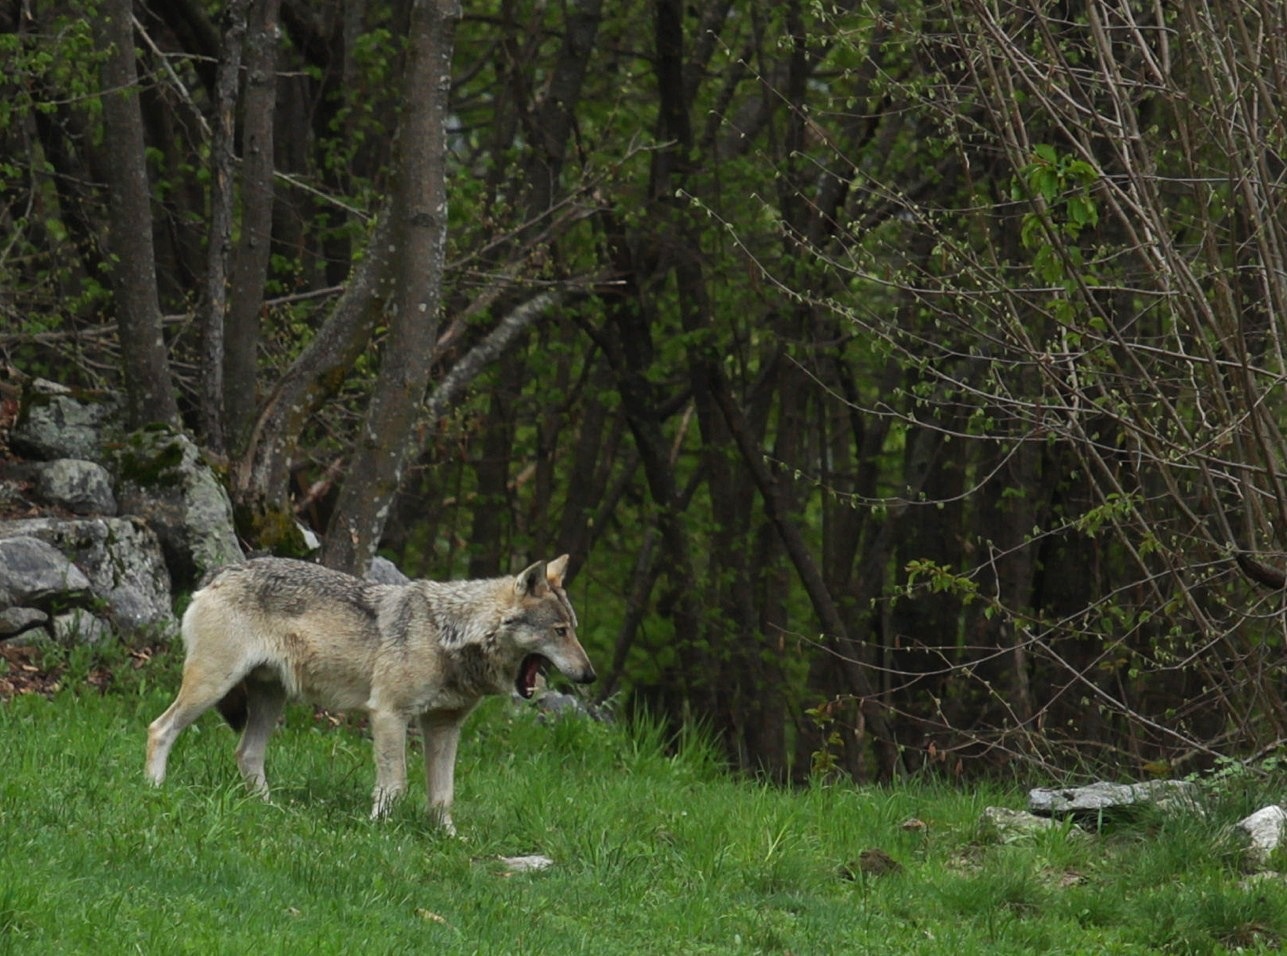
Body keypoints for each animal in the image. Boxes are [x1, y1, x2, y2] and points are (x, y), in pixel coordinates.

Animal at [145, 555, 595, 833]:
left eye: (573, 629)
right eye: (559, 631)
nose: (589, 675)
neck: (449, 634)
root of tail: (221, 572)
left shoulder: (444, 726)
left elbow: (443, 795)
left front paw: (448, 839)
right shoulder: (389, 714)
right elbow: (395, 784)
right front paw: (380, 829)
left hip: (270, 702)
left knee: (247, 753)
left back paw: (267, 809)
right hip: (212, 686)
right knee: (159, 728)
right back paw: (154, 788)